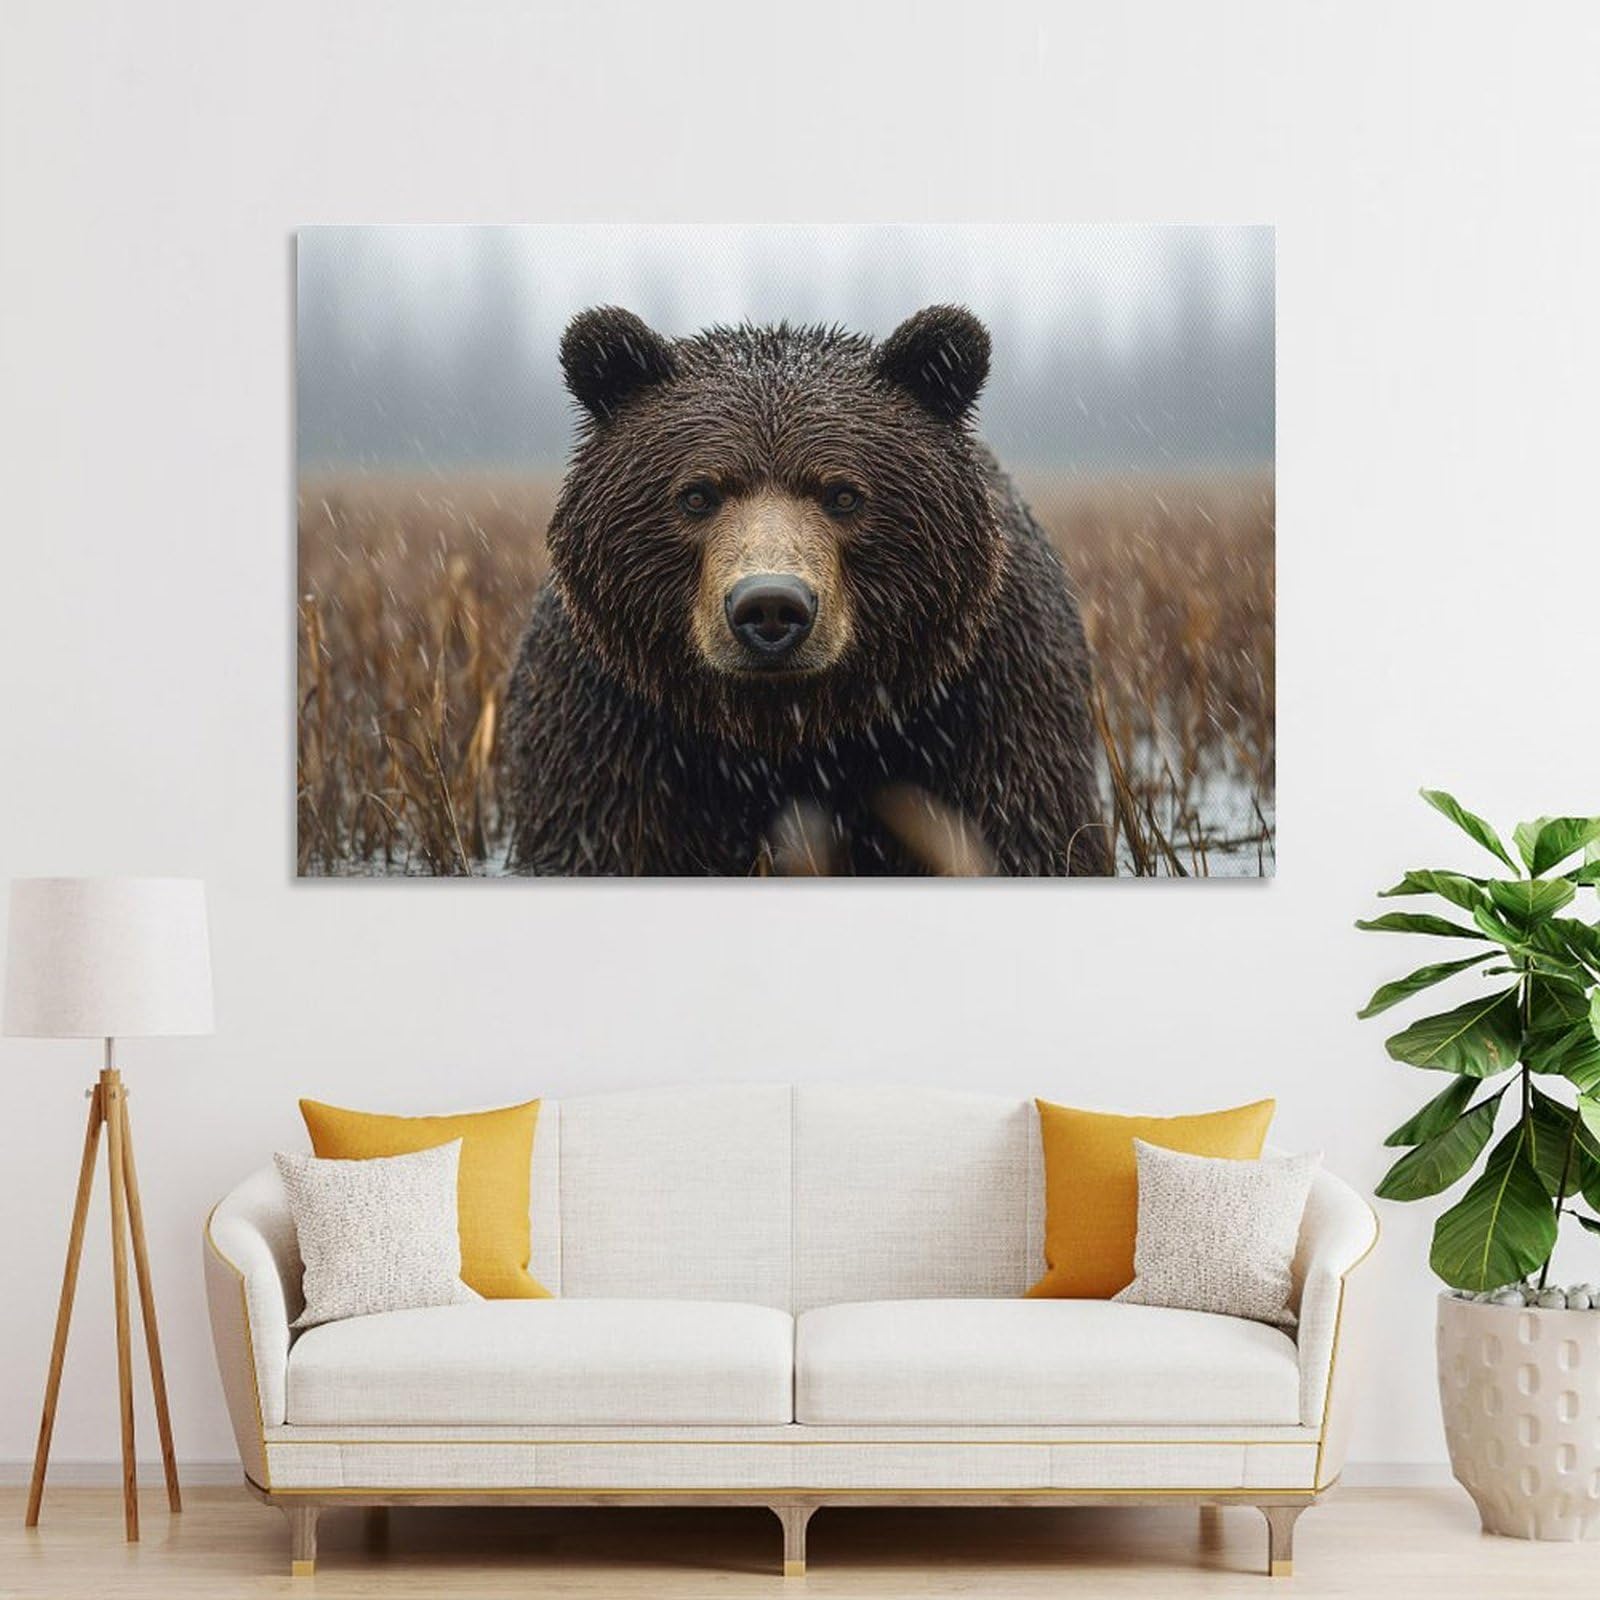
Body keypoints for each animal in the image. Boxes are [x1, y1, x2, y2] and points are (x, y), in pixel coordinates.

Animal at [503, 304, 1110, 876]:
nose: (771, 605)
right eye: (697, 494)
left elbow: (1024, 831)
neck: (790, 730)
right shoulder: (610, 717)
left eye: (843, 495)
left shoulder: (983, 705)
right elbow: (590, 832)